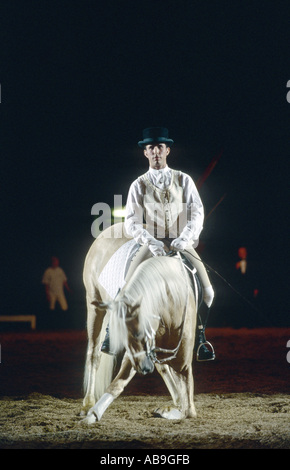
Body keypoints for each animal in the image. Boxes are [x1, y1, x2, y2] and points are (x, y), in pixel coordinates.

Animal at [80, 223, 198, 422]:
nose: (144, 368)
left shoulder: (182, 360)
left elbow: (188, 409)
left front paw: (172, 408)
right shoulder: (136, 354)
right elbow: (118, 383)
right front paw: (93, 414)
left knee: (163, 368)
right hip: (94, 306)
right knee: (93, 355)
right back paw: (87, 403)